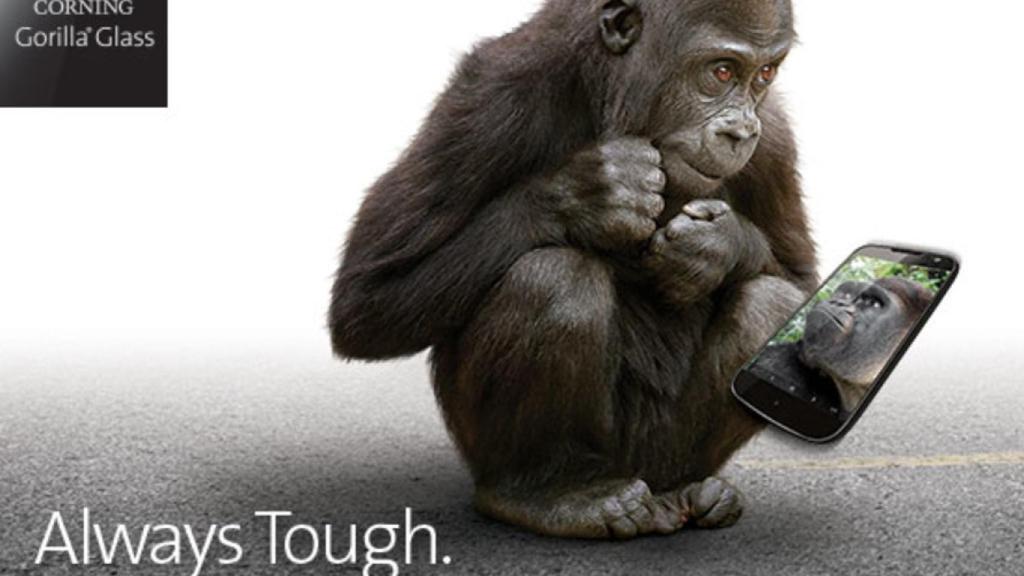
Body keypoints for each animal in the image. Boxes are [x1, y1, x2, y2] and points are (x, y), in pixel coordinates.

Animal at [329, 0, 818, 539]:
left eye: (764, 75)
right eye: (722, 71)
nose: (740, 131)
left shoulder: (774, 137)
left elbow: (801, 281)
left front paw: (719, 245)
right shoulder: (490, 97)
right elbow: (367, 300)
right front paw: (586, 194)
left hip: (656, 456)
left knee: (768, 305)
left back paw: (684, 486)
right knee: (553, 278)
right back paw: (544, 490)